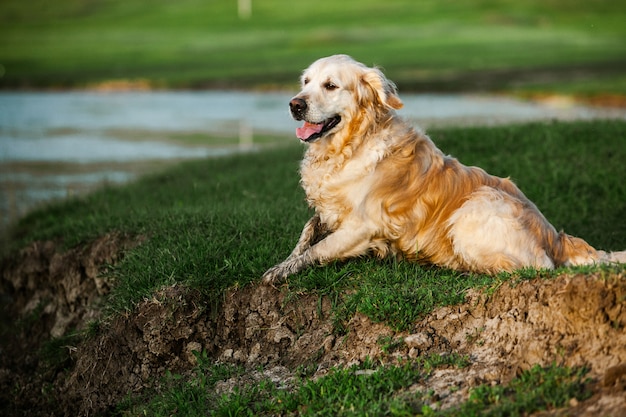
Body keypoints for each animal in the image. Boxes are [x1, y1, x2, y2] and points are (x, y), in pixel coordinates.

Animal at [260, 54, 620, 282]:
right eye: (306, 81)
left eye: (331, 86)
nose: (294, 104)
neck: (351, 146)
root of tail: (554, 236)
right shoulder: (330, 210)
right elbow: (308, 230)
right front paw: (285, 260)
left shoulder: (364, 226)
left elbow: (318, 250)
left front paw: (280, 272)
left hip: (473, 209)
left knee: (537, 268)